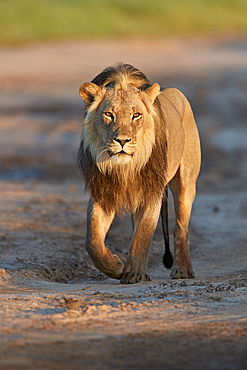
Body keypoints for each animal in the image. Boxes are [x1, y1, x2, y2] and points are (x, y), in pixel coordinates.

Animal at [77, 62, 201, 284]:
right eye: (109, 114)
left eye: (136, 115)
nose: (122, 141)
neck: (125, 167)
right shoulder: (102, 193)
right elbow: (92, 241)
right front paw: (116, 267)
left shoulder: (151, 192)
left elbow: (143, 235)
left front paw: (134, 273)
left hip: (186, 182)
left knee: (180, 227)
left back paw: (182, 269)